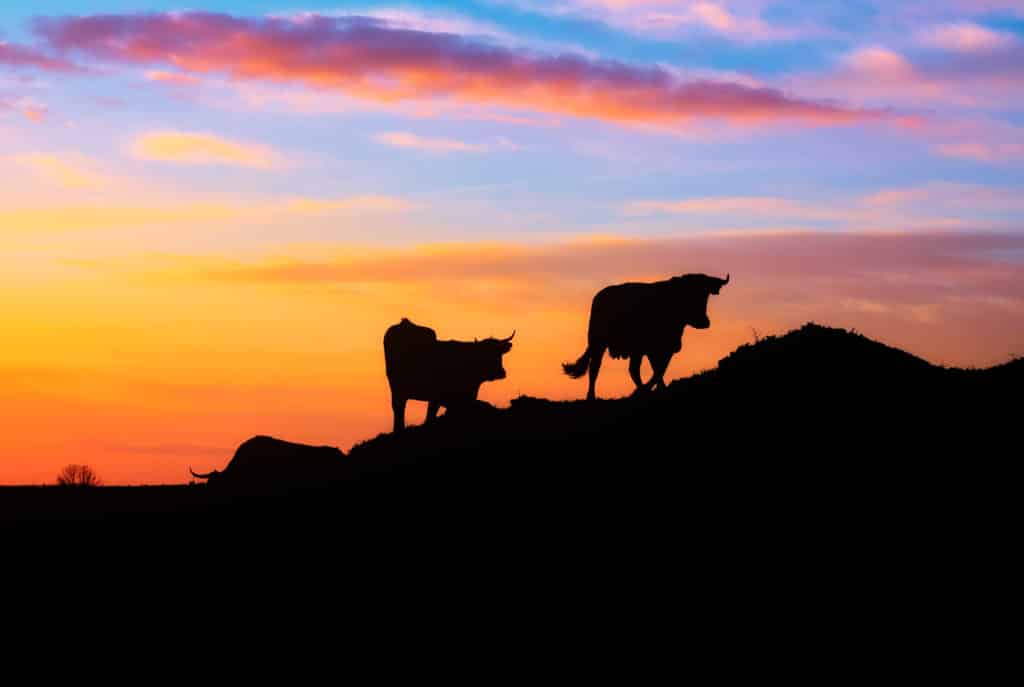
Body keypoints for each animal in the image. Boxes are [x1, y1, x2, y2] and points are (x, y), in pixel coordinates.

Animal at [561, 272, 729, 401]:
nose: (704, 322)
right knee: (596, 368)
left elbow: (660, 369)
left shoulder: (666, 348)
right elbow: (656, 370)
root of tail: (600, 296)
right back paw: (592, 397)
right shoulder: (648, 349)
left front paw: (661, 389)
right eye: (688, 295)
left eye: (705, 296)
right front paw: (646, 390)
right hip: (599, 343)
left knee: (632, 370)